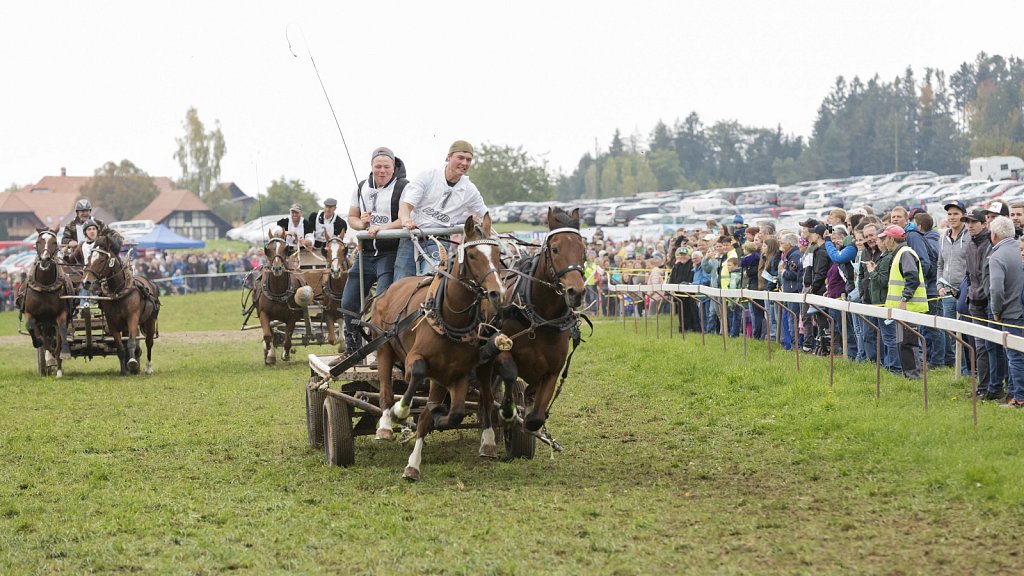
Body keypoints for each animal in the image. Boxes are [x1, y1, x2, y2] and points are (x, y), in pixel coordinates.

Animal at [22, 228, 74, 377]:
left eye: (54, 242)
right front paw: (40, 345)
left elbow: (61, 334)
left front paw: (62, 360)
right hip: (44, 323)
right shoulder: (31, 314)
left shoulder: (61, 315)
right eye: (38, 242)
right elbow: (32, 329)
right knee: (45, 340)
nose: (45, 260)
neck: (45, 285)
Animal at [81, 231, 158, 373]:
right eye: (88, 259)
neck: (119, 291)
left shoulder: (132, 317)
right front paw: (123, 371)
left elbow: (131, 342)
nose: (86, 282)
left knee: (149, 342)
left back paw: (148, 368)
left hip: (150, 320)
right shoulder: (111, 322)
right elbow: (120, 347)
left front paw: (132, 363)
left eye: (101, 260)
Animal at [253, 227, 305, 362]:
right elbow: (267, 335)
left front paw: (286, 354)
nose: (277, 268)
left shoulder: (292, 317)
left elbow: (287, 339)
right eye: (267, 249)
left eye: (286, 248)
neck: (277, 292)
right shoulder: (263, 313)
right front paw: (267, 350)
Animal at [372, 213, 507, 477]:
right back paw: (385, 424)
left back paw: (485, 441)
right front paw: (401, 411)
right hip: (384, 348)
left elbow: (453, 414)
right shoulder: (414, 359)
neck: (449, 317)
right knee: (385, 389)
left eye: (498, 254)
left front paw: (436, 419)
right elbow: (417, 372)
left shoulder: (455, 375)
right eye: (472, 255)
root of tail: (390, 288)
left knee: (485, 398)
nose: (498, 293)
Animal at [485, 206, 589, 453]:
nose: (577, 292)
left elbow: (536, 416)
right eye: (555, 248)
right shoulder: (499, 349)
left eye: (583, 250)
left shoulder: (552, 371)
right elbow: (510, 372)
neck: (539, 320)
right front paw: (507, 412)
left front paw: (528, 422)